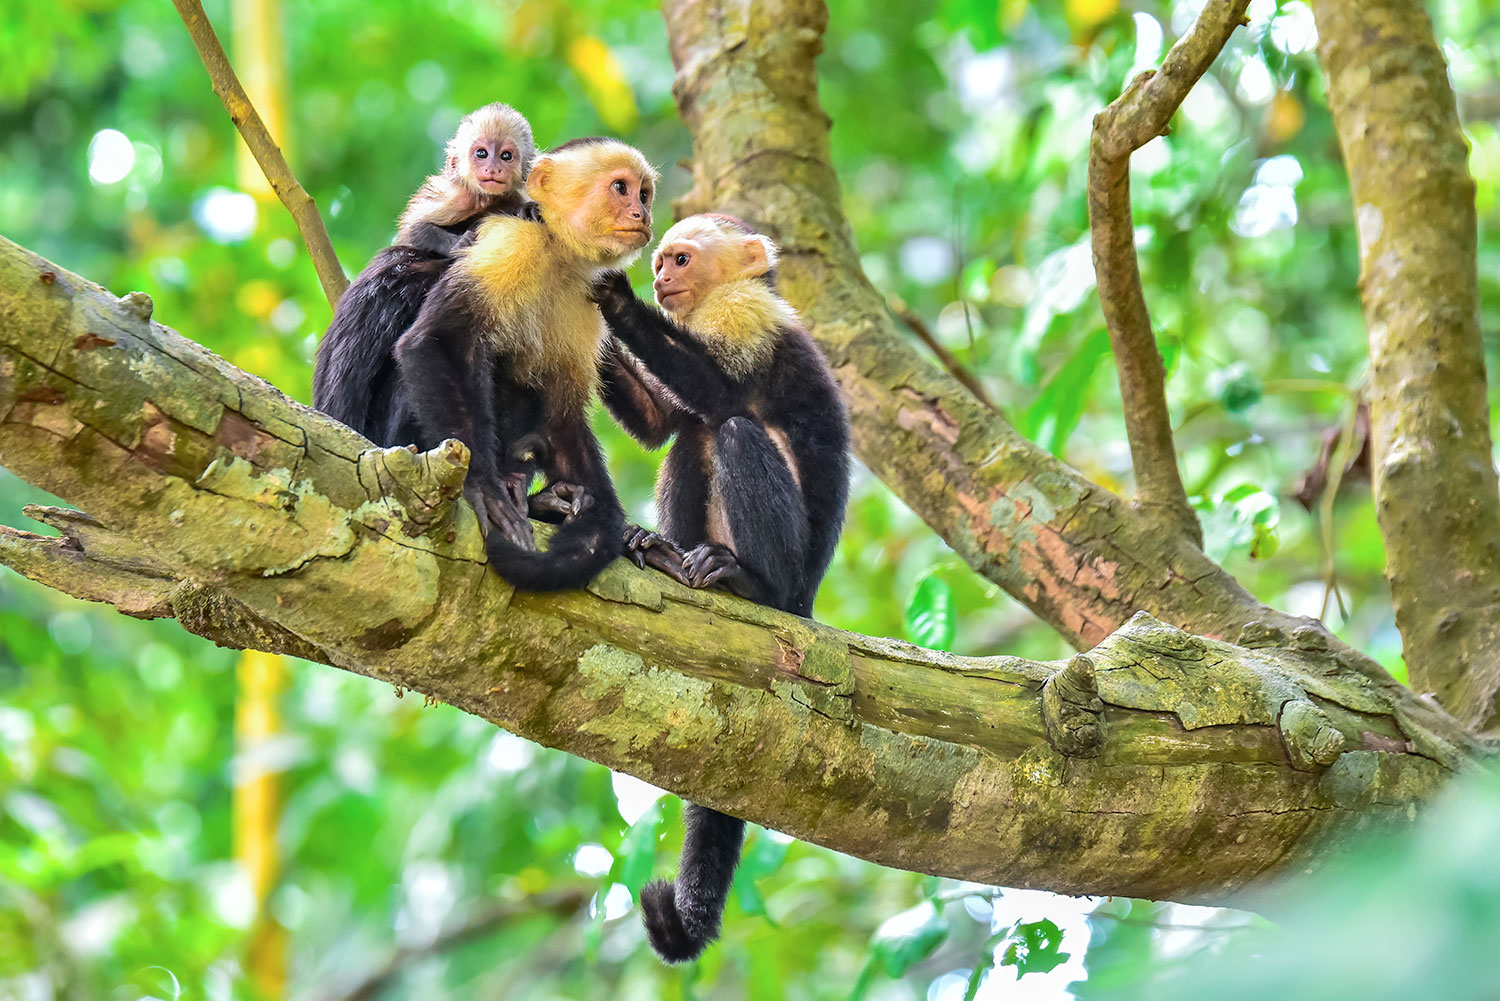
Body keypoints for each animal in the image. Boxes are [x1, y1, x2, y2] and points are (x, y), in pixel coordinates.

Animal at [394, 137, 659, 591]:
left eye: (643, 193)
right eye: (621, 188)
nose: (642, 214)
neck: (556, 250)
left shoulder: (588, 301)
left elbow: (560, 417)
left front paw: (603, 523)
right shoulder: (510, 244)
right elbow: (438, 341)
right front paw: (483, 487)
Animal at [589, 214, 851, 962]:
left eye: (679, 259)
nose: (656, 278)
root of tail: (806, 601)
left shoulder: (747, 314)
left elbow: (722, 394)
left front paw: (614, 301)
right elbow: (662, 424)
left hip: (793, 575)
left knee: (729, 429)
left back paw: (747, 582)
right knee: (691, 439)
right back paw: (668, 557)